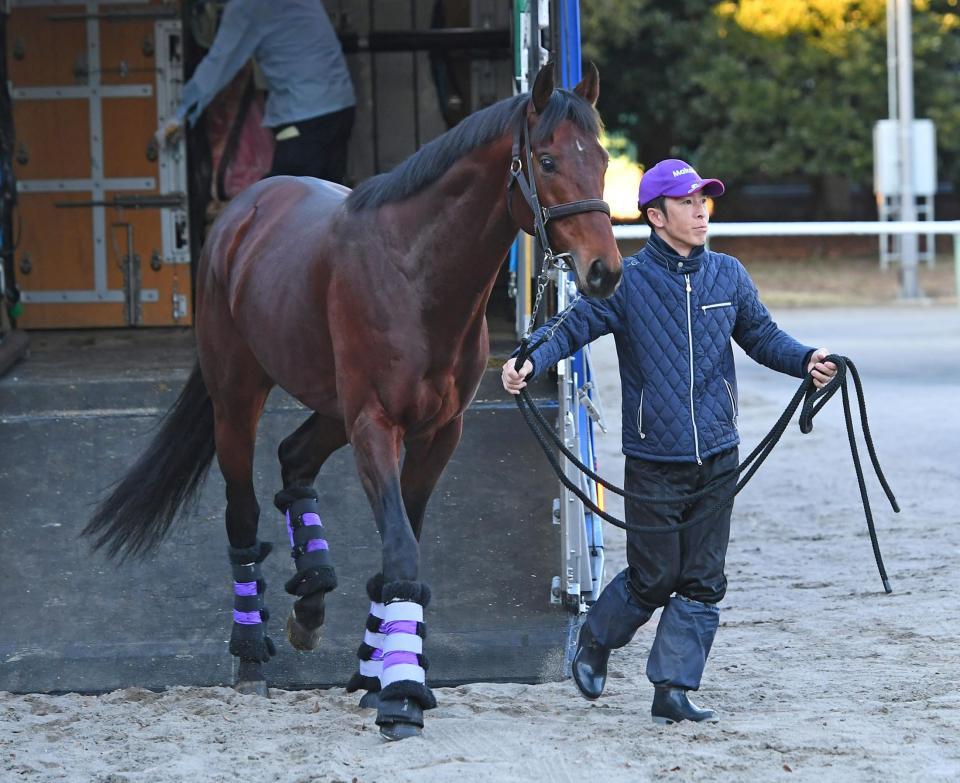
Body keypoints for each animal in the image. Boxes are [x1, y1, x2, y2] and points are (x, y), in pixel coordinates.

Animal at [84, 62, 624, 740]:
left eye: (602, 159)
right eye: (548, 160)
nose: (605, 271)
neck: (415, 274)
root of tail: (241, 215)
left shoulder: (437, 433)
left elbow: (401, 548)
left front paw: (376, 672)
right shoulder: (375, 424)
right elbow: (401, 549)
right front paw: (400, 695)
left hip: (332, 411)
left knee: (294, 459)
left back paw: (313, 595)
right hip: (238, 399)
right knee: (243, 510)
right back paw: (252, 653)